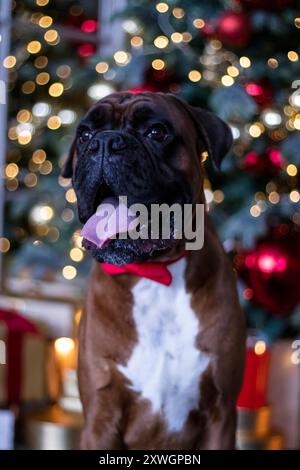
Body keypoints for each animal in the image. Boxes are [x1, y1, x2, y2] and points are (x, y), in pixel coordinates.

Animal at [62, 91, 245, 448]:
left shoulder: (221, 414)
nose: (104, 143)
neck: (155, 274)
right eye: (85, 135)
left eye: (156, 132)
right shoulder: (101, 418)